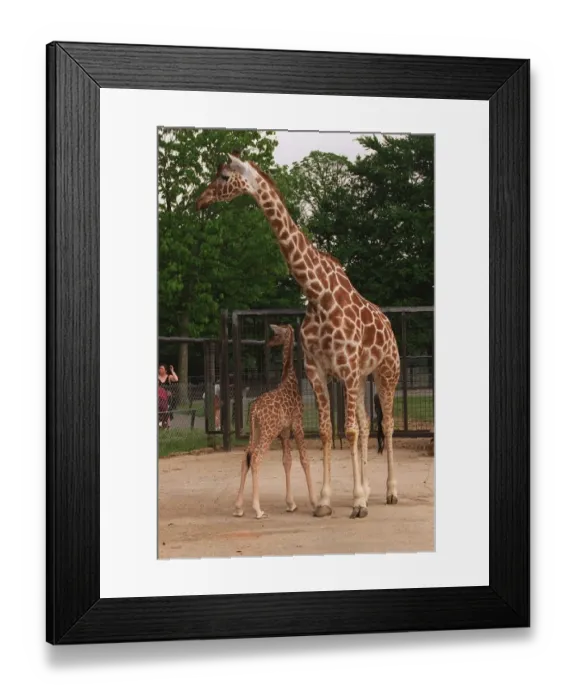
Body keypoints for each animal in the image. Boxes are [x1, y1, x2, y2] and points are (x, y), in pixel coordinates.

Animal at [234, 323, 317, 520]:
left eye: (277, 333)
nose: (268, 343)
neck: (290, 380)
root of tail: (254, 409)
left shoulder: (284, 432)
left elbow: (287, 461)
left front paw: (291, 504)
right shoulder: (298, 424)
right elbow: (304, 459)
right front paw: (314, 502)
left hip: (256, 431)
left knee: (245, 457)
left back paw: (239, 507)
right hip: (267, 431)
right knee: (256, 458)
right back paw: (258, 509)